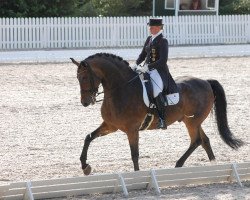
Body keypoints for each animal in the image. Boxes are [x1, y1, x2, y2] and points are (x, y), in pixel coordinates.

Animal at [70, 52, 244, 175]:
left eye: (84, 77)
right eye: (77, 78)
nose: (85, 102)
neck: (121, 89)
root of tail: (206, 82)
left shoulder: (132, 129)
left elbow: (134, 154)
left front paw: (136, 175)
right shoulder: (110, 125)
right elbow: (88, 137)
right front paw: (85, 166)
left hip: (193, 121)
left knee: (196, 141)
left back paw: (178, 164)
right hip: (191, 121)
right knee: (204, 140)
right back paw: (213, 165)